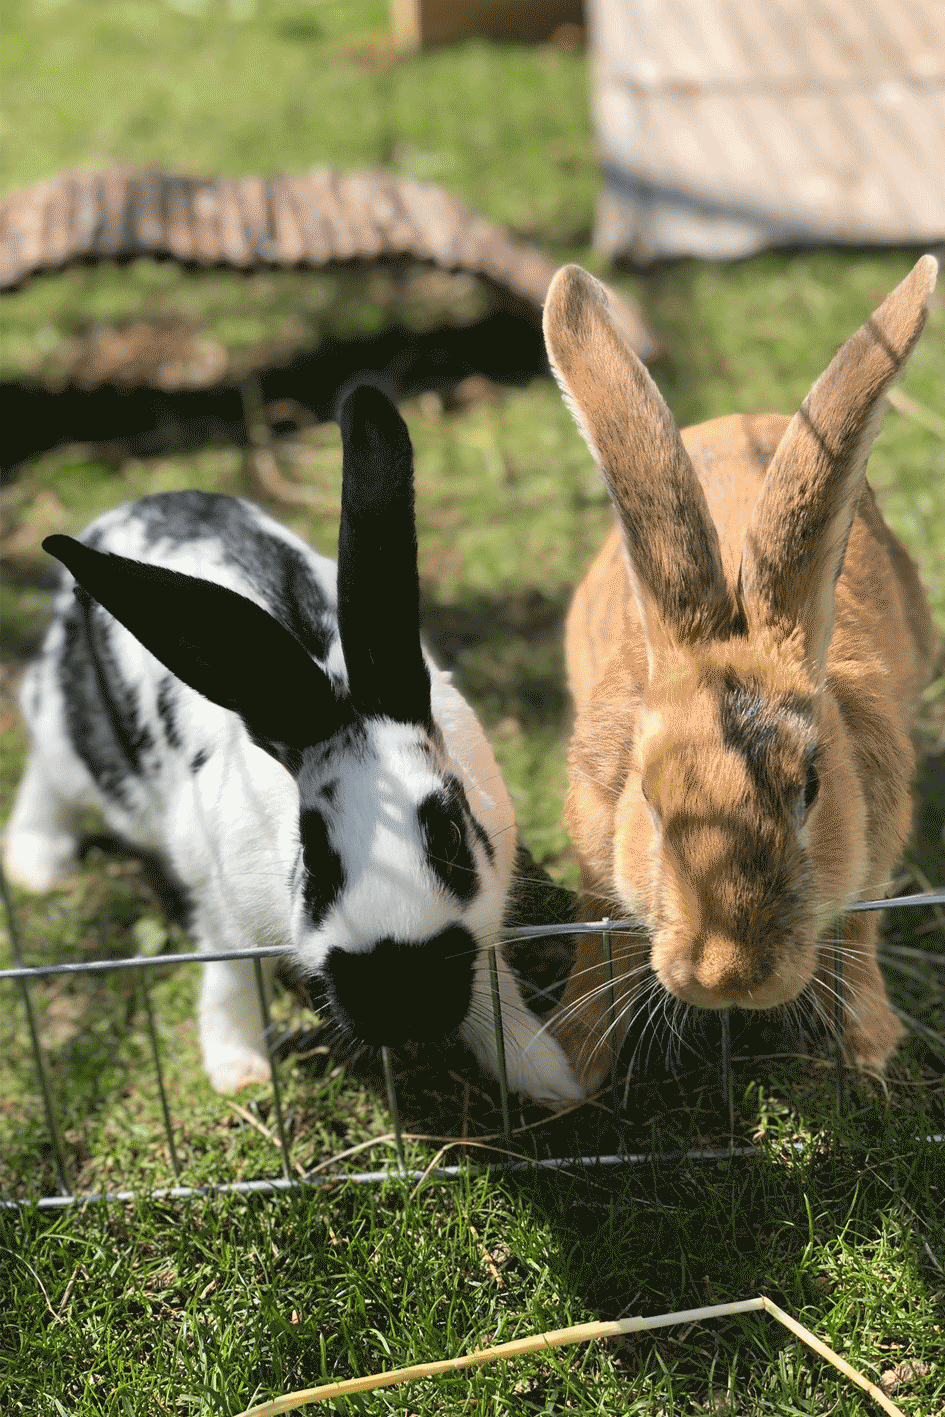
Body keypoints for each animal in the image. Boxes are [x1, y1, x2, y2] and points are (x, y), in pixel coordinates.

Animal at [1, 385, 583, 1105]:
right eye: (316, 856)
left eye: (451, 838)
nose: (405, 1004)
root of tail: (136, 504)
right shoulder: (221, 902)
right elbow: (229, 981)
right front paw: (236, 1072)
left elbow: (494, 984)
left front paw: (546, 1074)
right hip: (72, 733)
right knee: (46, 770)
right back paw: (38, 863)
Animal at [544, 257, 940, 1082]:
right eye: (649, 798)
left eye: (810, 789)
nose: (729, 974)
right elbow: (598, 925)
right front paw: (569, 1055)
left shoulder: (873, 846)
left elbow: (859, 932)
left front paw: (871, 1047)